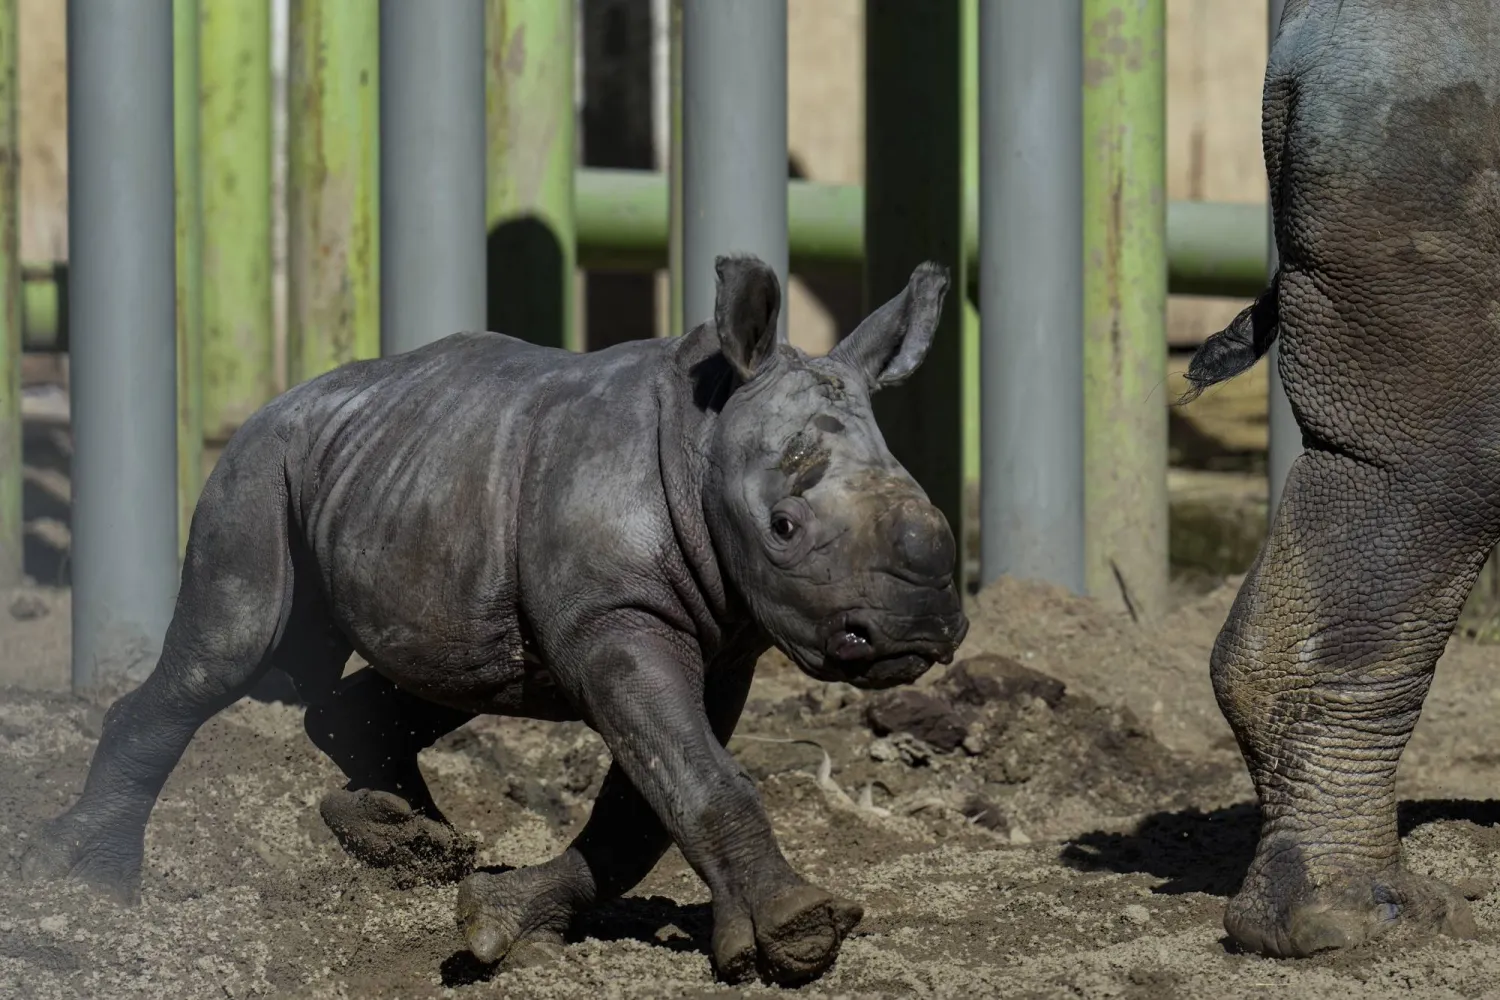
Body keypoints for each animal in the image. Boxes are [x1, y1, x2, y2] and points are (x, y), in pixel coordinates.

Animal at [21, 255, 968, 985]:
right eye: (785, 527)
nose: (920, 630)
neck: (706, 438)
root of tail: (279, 398)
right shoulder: (615, 617)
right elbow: (694, 776)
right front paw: (802, 933)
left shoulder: (723, 641)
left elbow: (648, 801)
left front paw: (502, 921)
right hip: (259, 467)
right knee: (229, 654)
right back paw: (89, 886)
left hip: (407, 478)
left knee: (454, 670)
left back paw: (412, 845)